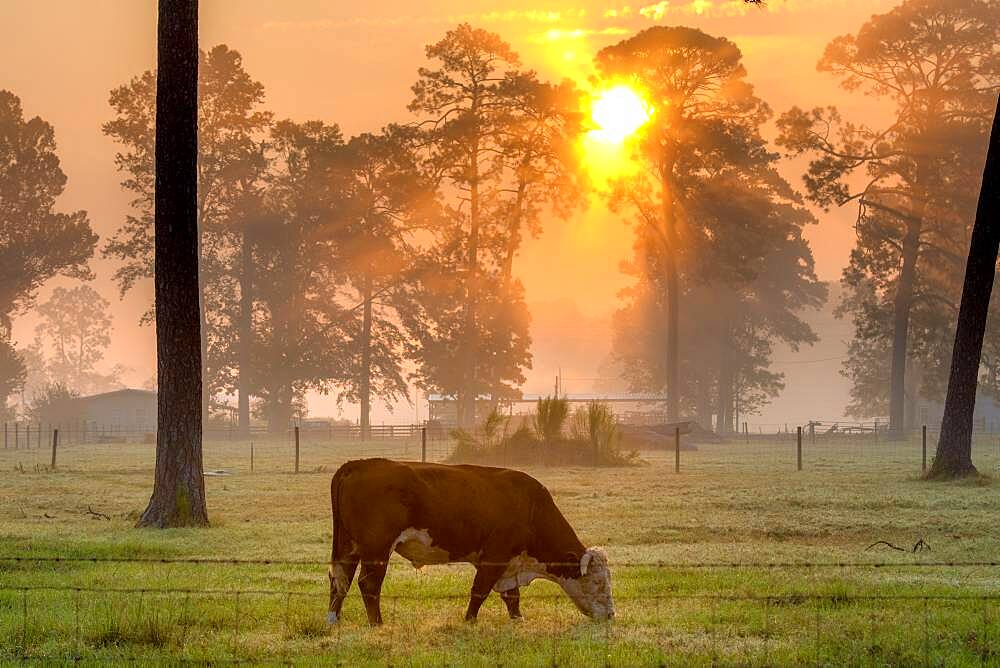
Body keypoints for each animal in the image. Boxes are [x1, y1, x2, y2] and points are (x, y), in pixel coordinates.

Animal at [324, 456, 612, 624]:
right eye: (598, 582)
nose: (611, 615)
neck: (531, 508)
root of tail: (361, 463)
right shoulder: (495, 557)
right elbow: (480, 591)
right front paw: (470, 621)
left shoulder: (508, 565)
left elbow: (512, 596)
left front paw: (518, 620)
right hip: (377, 549)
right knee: (368, 584)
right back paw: (377, 623)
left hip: (348, 547)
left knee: (340, 579)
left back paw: (333, 619)